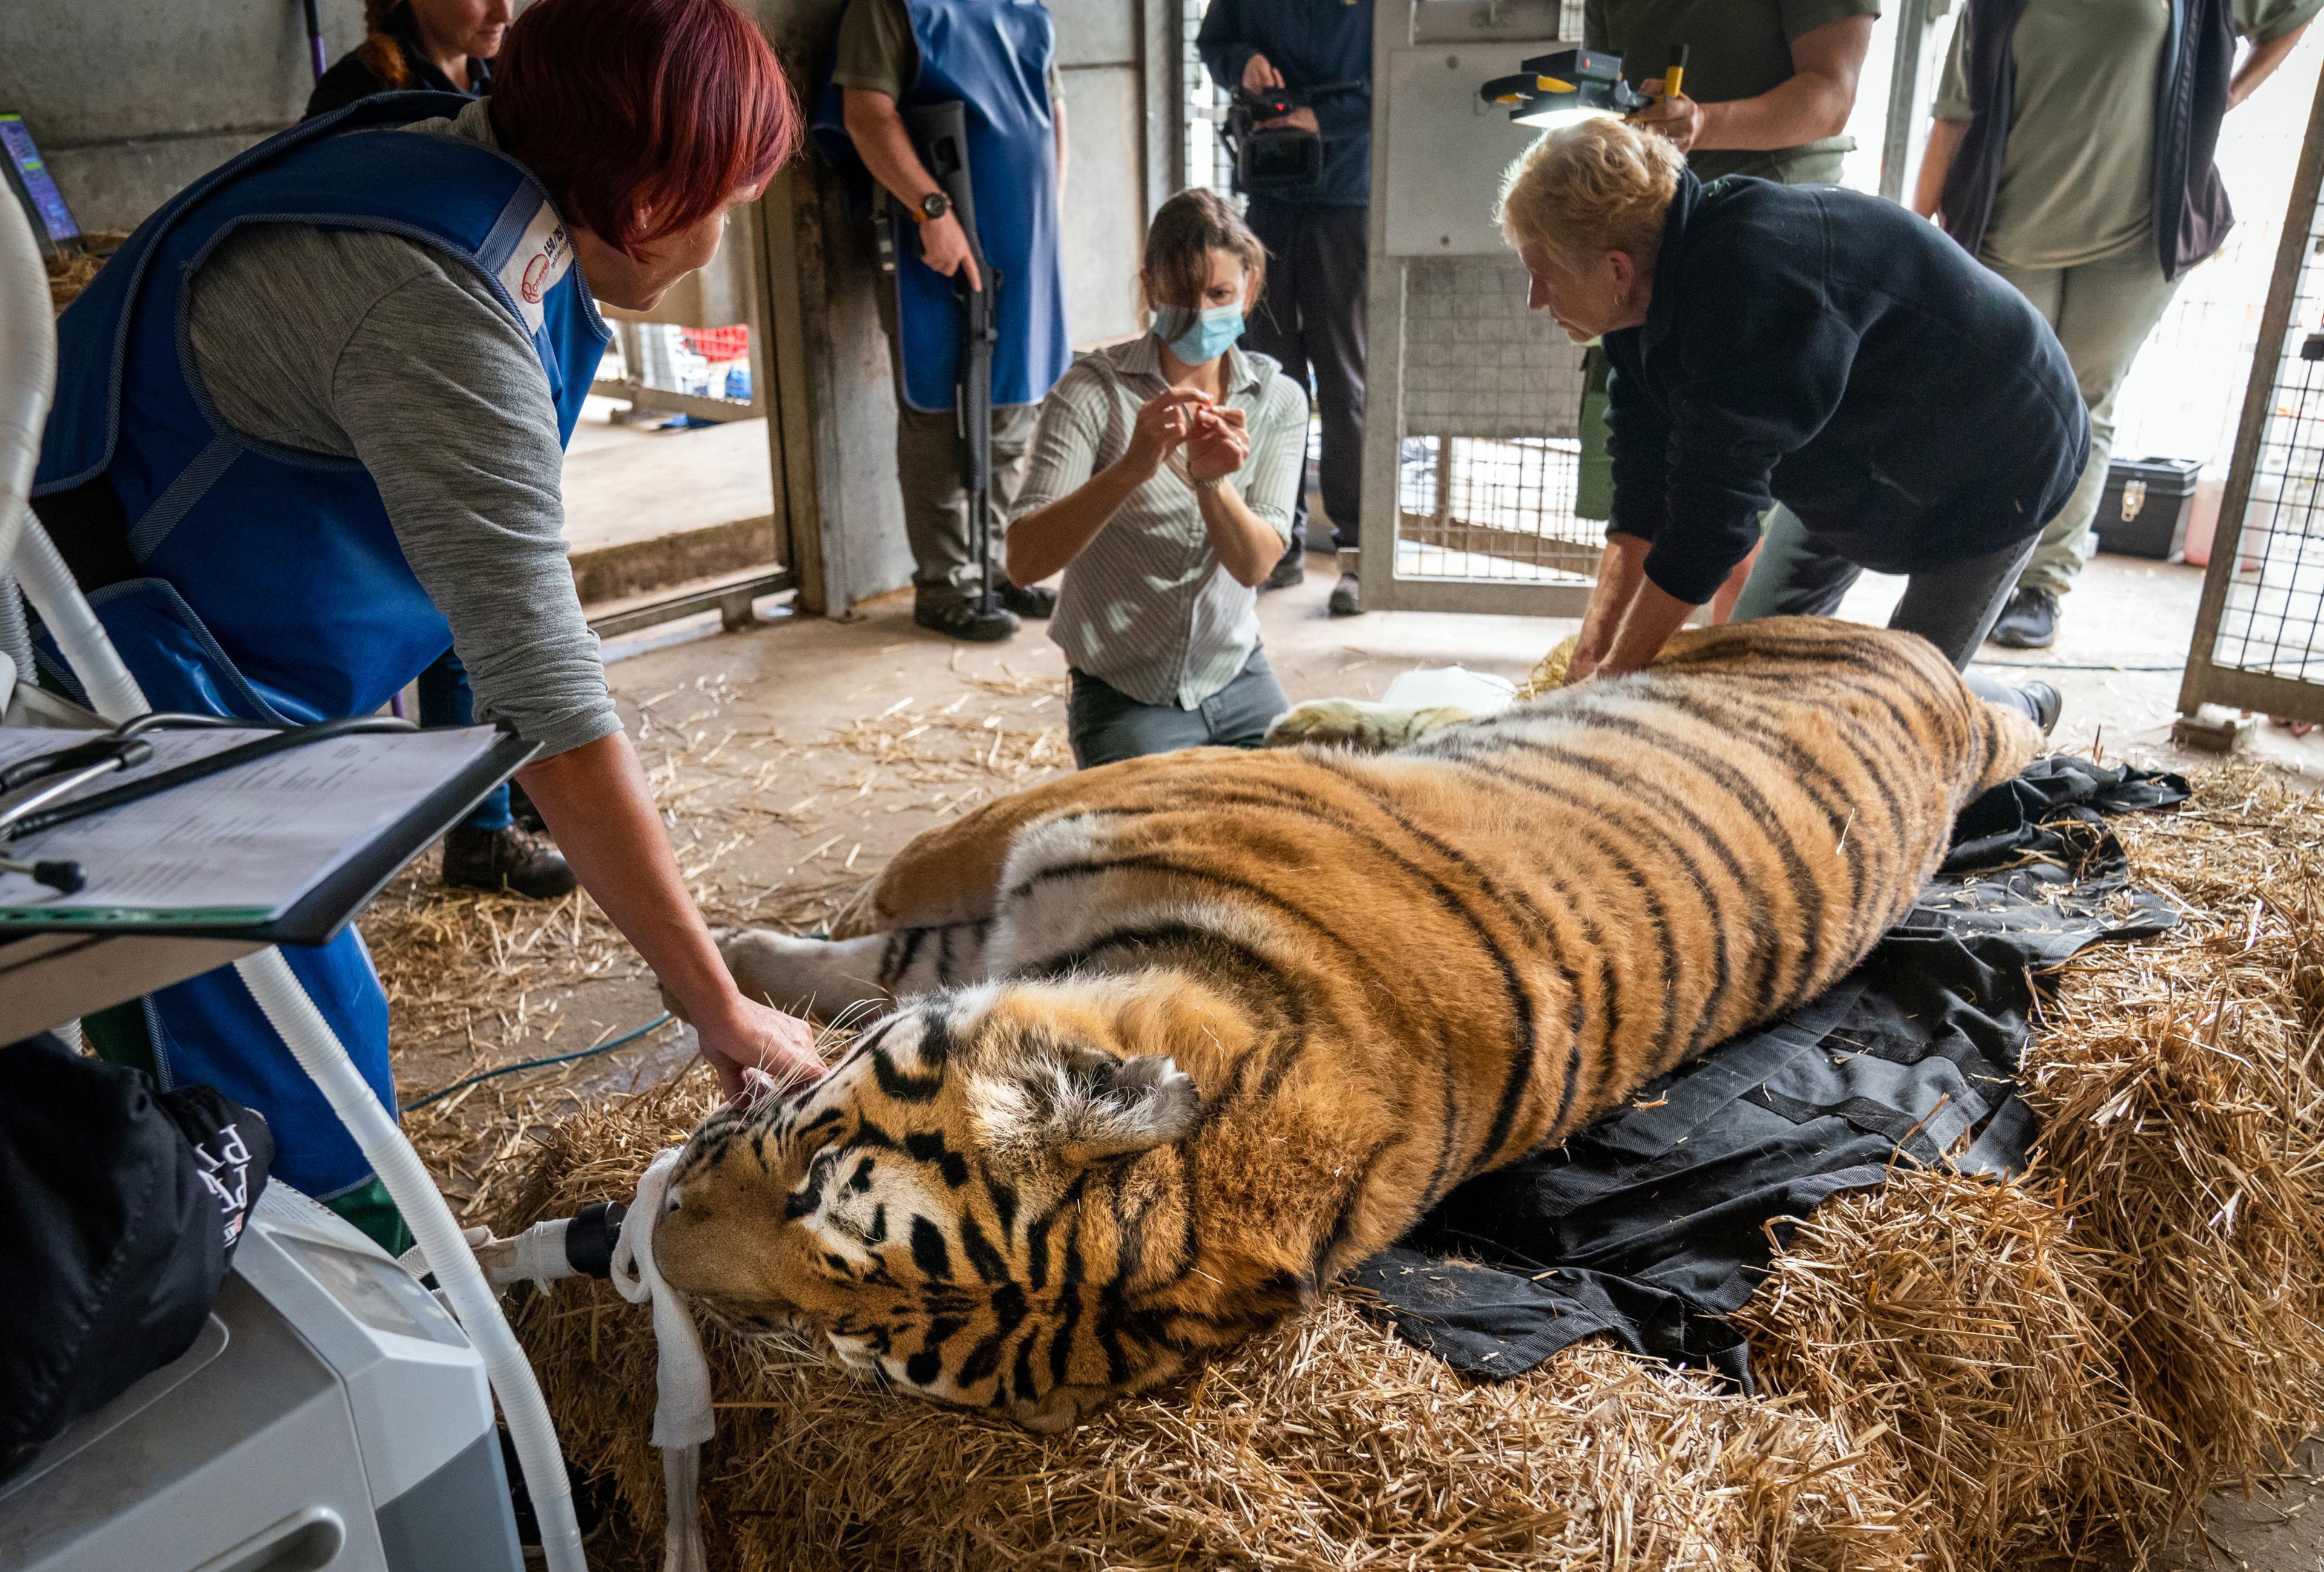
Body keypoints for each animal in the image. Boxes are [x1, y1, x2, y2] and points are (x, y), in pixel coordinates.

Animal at [655, 617, 2035, 1430]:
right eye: (813, 1180)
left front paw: (738, 964)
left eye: (840, 1332)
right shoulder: (1056, 833)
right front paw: (755, 952)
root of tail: (1959, 703)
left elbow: (901, 922)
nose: (657, 1239)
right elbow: (908, 898)